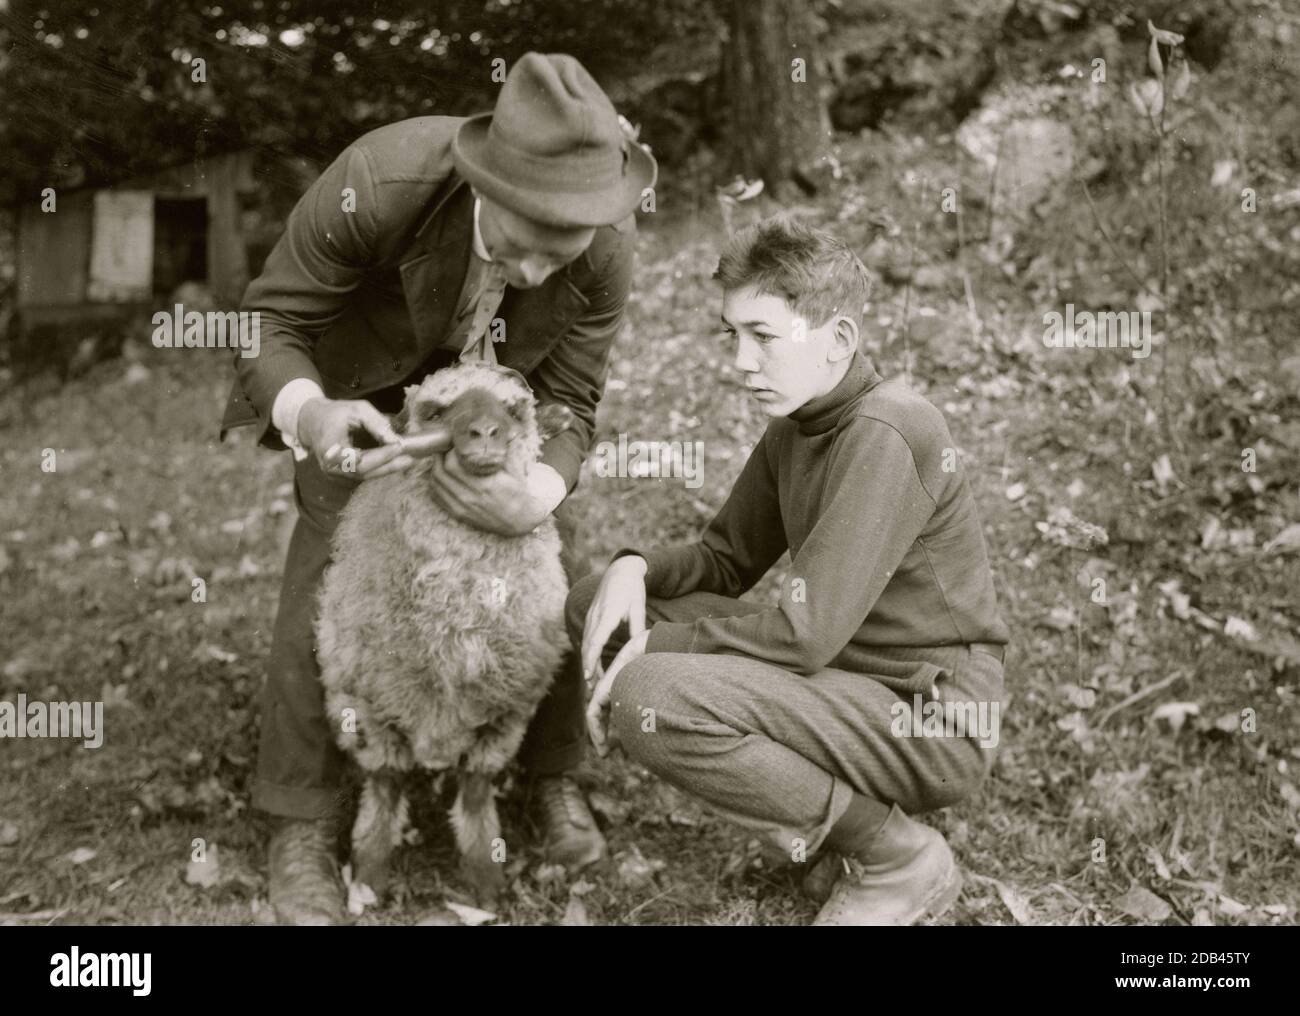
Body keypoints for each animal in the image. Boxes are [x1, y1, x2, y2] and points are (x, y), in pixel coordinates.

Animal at [312, 363, 572, 909]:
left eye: (514, 409)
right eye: (435, 411)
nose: (485, 433)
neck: (454, 632)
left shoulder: (506, 716)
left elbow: (475, 790)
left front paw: (485, 882)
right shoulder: (369, 709)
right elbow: (385, 787)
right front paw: (367, 876)